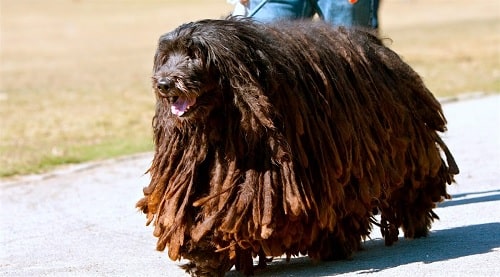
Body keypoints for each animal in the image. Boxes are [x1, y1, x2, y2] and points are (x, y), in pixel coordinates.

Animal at [137, 18, 458, 274]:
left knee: (410, 183)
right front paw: (203, 254)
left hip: (402, 146)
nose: (164, 83)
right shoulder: (206, 165)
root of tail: (377, 46)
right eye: (166, 57)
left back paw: (414, 221)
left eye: (195, 55)